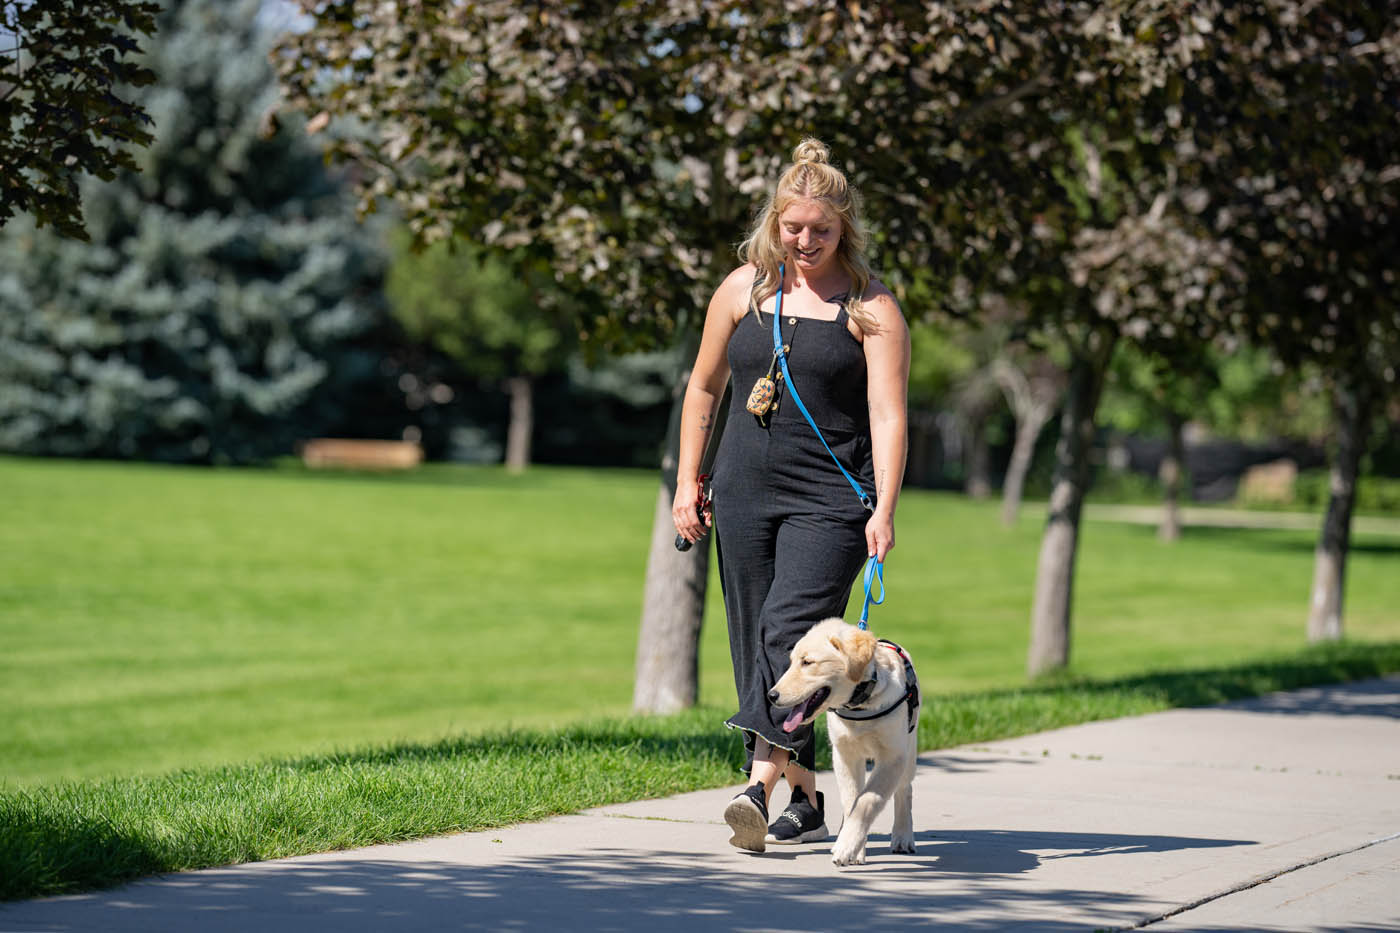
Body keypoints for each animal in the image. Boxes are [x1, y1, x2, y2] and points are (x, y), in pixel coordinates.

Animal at [767, 616, 918, 862]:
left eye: (807, 662)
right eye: (791, 662)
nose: (771, 696)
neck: (860, 704)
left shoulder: (892, 756)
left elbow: (866, 800)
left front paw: (847, 846)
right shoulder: (844, 755)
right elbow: (852, 800)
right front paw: (854, 847)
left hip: (909, 747)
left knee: (904, 789)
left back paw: (903, 836)